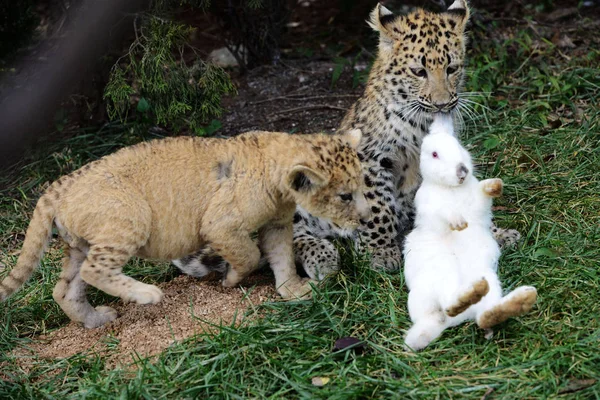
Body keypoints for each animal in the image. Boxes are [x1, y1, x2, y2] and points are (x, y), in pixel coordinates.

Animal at [400, 113, 536, 350]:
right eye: (434, 154)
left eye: (459, 146)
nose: (462, 171)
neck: (452, 189)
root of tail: (449, 321)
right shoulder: (429, 209)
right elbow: (444, 214)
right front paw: (457, 222)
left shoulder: (477, 207)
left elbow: (481, 197)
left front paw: (494, 185)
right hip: (433, 283)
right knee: (449, 304)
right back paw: (469, 297)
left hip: (489, 281)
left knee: (483, 316)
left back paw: (516, 302)